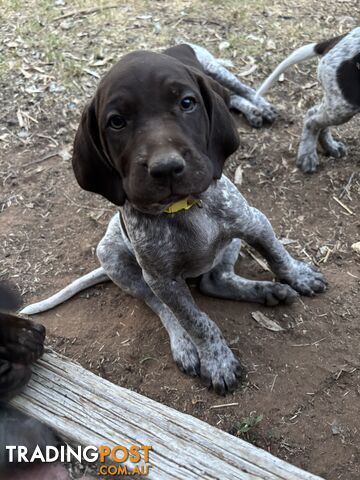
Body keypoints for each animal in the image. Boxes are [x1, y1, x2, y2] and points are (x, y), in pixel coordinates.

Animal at [21, 44, 326, 394]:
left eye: (187, 103)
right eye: (116, 122)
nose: (165, 167)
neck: (183, 208)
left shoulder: (254, 224)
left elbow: (277, 256)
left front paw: (298, 276)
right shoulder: (163, 279)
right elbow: (195, 320)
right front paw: (216, 360)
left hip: (230, 243)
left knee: (215, 280)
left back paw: (266, 291)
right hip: (117, 261)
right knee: (162, 307)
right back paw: (184, 345)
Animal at [258, 26, 358, 172]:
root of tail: (340, 39)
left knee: (317, 113)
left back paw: (330, 146)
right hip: (345, 104)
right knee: (312, 118)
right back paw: (307, 155)